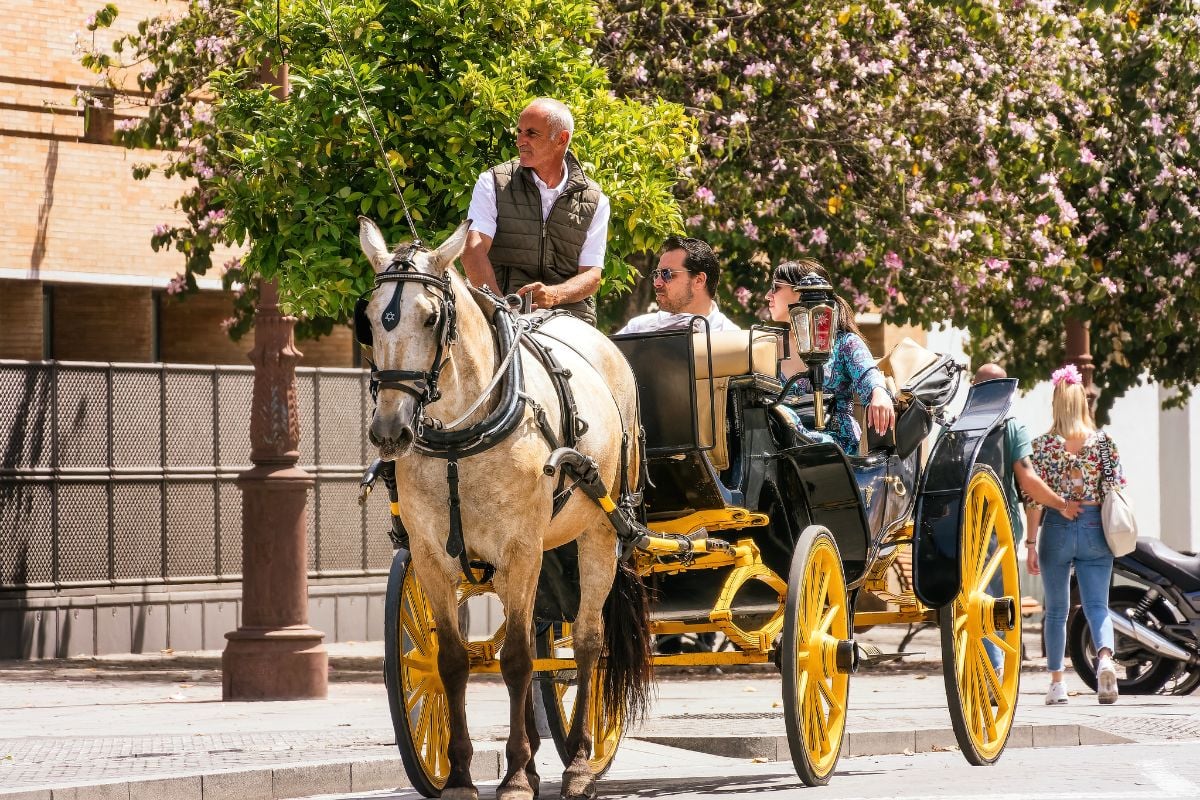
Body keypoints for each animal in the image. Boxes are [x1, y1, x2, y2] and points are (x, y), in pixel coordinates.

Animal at [357, 219, 648, 800]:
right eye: (372, 318)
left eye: (431, 316)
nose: (390, 430)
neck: (459, 437)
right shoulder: (430, 558)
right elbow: (451, 661)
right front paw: (460, 775)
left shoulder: (520, 550)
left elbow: (516, 661)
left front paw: (514, 776)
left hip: (598, 534)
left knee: (588, 644)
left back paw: (578, 762)